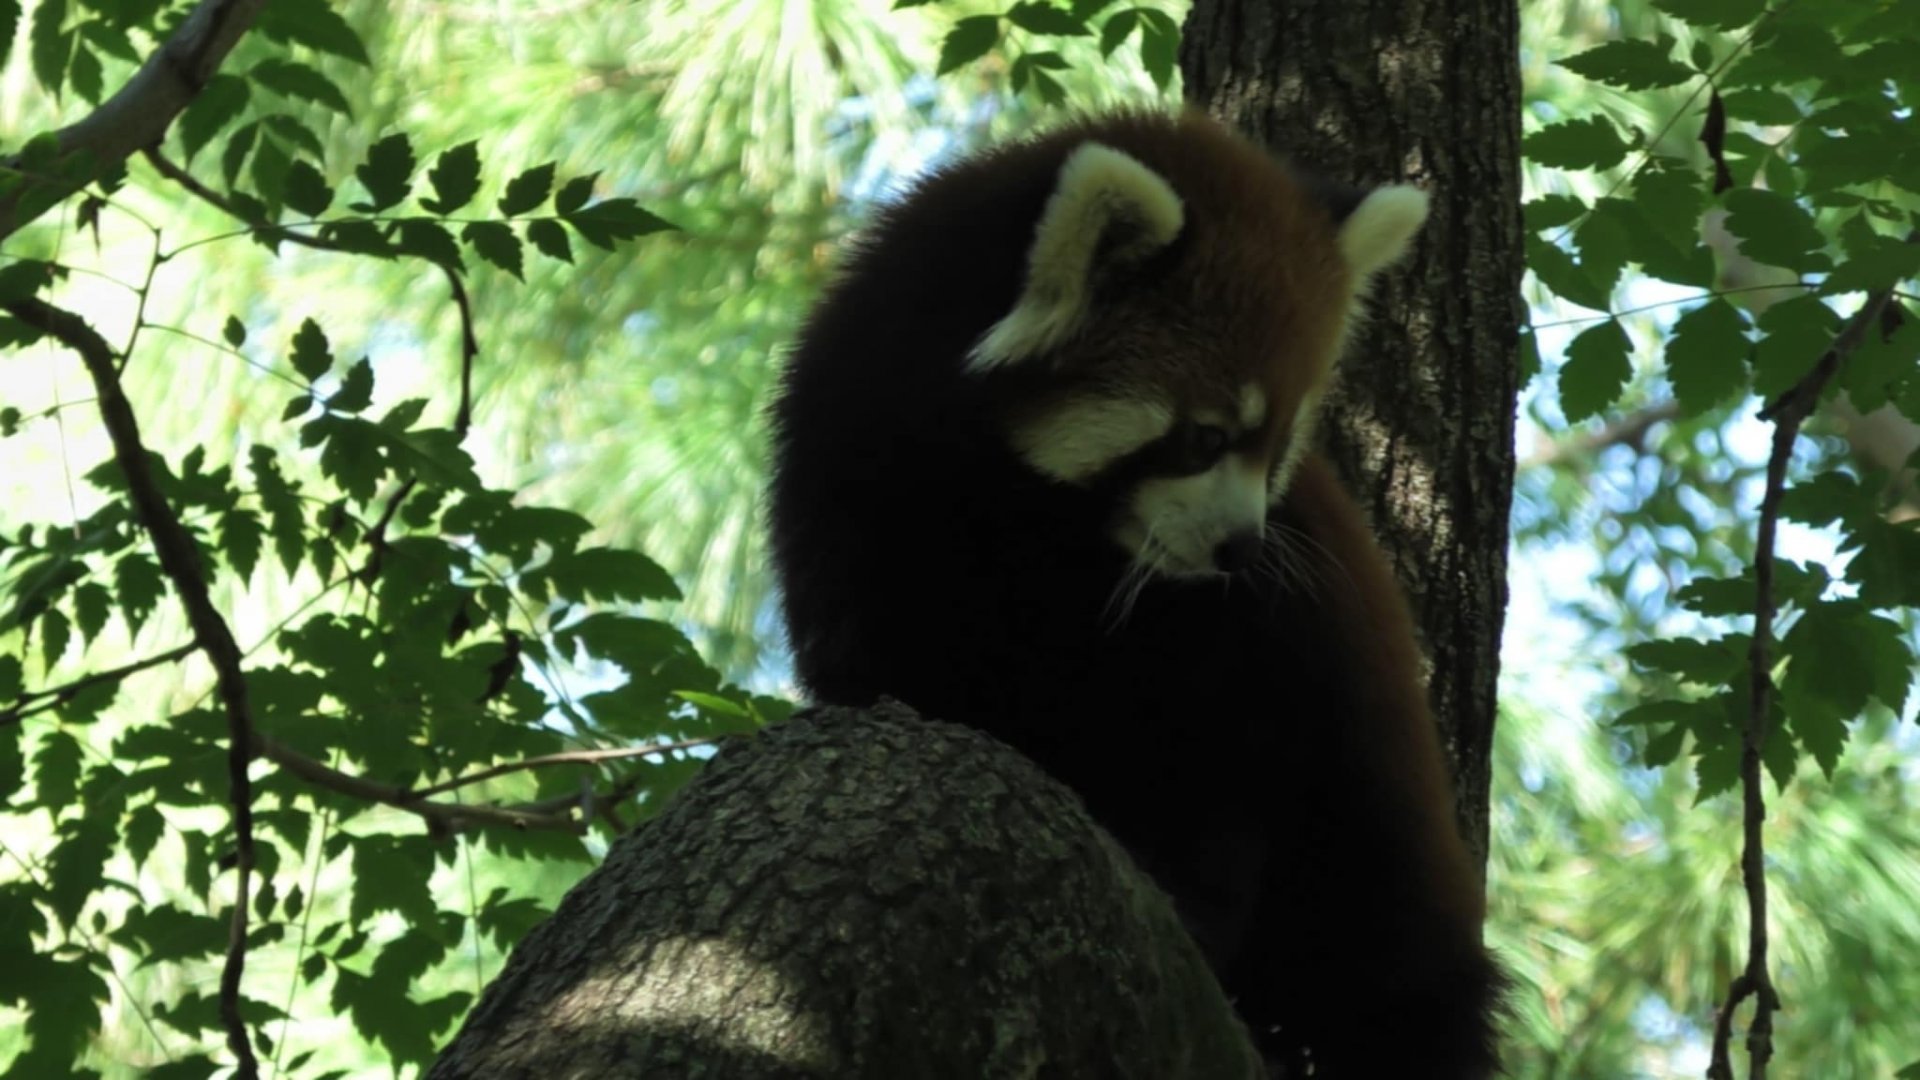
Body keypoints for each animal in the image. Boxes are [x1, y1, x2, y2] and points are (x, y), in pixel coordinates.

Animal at [766, 109, 1503, 1077]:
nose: (1241, 547)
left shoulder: (1247, 640)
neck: (1037, 526)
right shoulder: (850, 490)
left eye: (1279, 445)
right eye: (1203, 438)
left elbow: (1219, 777)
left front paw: (1186, 904)